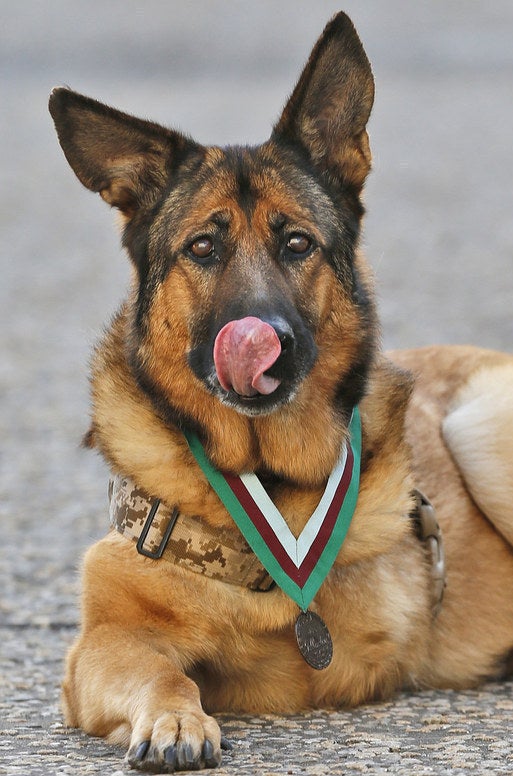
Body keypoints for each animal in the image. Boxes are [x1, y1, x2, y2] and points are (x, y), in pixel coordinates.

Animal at [49, 10, 512, 768]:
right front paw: (175, 722)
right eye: (202, 248)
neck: (267, 474)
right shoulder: (103, 646)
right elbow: (164, 673)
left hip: (481, 427)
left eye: (297, 244)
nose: (266, 340)